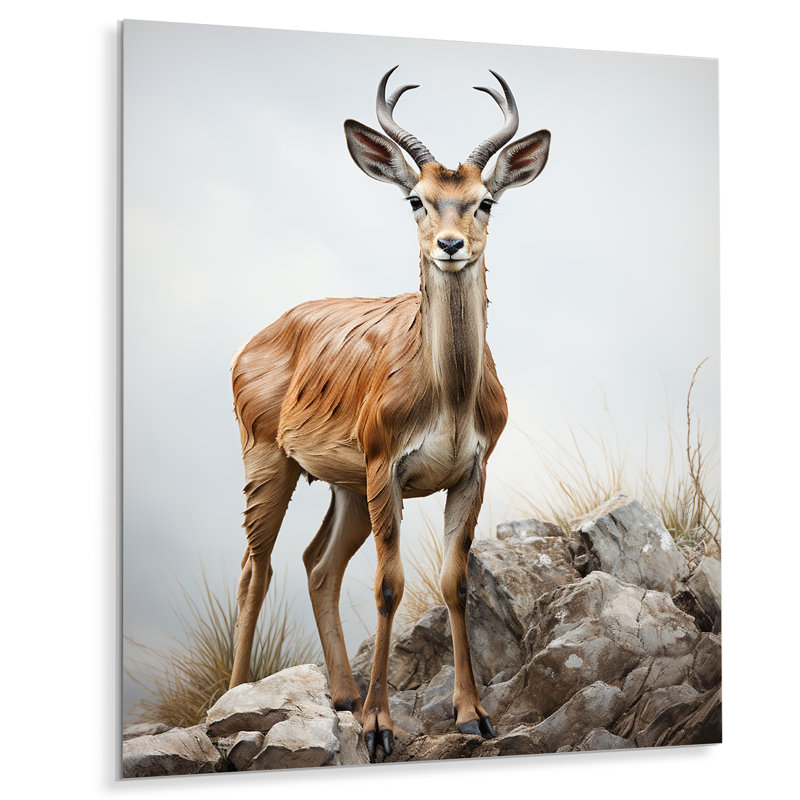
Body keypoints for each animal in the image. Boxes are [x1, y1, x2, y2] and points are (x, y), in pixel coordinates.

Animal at [229, 67, 550, 760]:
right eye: (416, 200)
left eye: (485, 200)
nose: (451, 246)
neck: (448, 397)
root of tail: (258, 337)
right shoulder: (388, 468)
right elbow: (388, 585)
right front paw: (380, 727)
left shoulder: (470, 473)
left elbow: (456, 582)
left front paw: (472, 715)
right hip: (270, 463)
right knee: (255, 568)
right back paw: (240, 697)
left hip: (346, 488)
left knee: (317, 566)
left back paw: (344, 697)